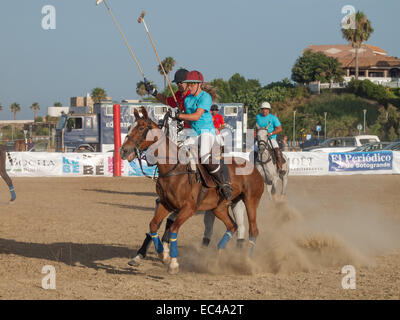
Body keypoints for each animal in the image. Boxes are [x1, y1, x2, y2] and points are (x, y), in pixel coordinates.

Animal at [121, 107, 266, 272]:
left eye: (141, 128)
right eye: (129, 127)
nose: (123, 151)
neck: (173, 168)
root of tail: (255, 169)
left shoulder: (189, 208)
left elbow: (173, 229)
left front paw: (173, 262)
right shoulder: (166, 204)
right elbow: (153, 225)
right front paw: (163, 255)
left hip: (251, 201)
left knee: (253, 230)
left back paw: (246, 261)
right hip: (220, 207)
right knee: (232, 226)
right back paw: (215, 258)